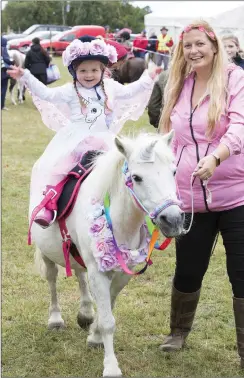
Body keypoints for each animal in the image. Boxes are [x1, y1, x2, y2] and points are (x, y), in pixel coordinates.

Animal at [33, 131, 185, 376]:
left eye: (174, 171)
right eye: (137, 177)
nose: (173, 219)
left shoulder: (123, 273)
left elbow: (108, 308)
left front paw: (94, 336)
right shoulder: (98, 272)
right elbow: (108, 321)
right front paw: (111, 367)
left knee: (79, 274)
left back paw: (85, 313)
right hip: (47, 255)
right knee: (52, 280)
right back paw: (55, 319)